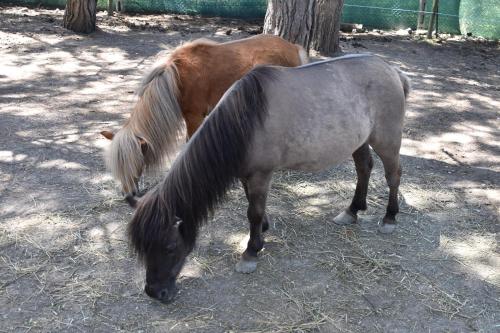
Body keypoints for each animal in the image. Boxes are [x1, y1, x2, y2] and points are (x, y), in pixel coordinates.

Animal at [127, 53, 408, 300]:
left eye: (169, 247)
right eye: (142, 249)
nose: (155, 292)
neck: (244, 121)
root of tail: (392, 70)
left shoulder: (261, 174)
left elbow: (253, 211)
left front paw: (251, 251)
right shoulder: (245, 174)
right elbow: (253, 205)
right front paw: (262, 231)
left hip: (387, 141)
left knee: (393, 175)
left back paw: (390, 217)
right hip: (359, 141)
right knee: (364, 168)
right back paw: (352, 210)